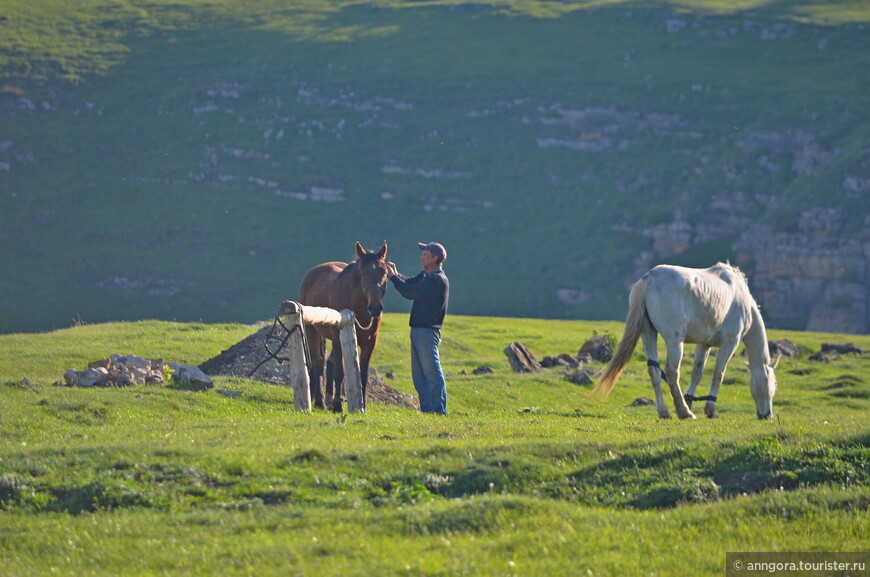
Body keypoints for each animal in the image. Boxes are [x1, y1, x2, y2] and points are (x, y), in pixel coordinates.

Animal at [300, 241, 388, 412]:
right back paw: (321, 401)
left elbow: (363, 376)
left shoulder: (370, 343)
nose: (375, 308)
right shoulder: (337, 338)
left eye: (384, 272)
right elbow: (339, 373)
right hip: (312, 331)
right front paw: (337, 405)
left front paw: (362, 405)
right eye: (362, 273)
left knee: (329, 362)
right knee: (319, 363)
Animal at [596, 262, 780, 418]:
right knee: (671, 372)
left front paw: (690, 399)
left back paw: (665, 411)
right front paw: (710, 410)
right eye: (773, 382)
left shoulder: (704, 344)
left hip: (648, 334)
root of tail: (649, 278)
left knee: (654, 370)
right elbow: (718, 374)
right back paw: (684, 412)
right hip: (675, 341)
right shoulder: (730, 343)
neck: (740, 296)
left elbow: (696, 373)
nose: (767, 415)